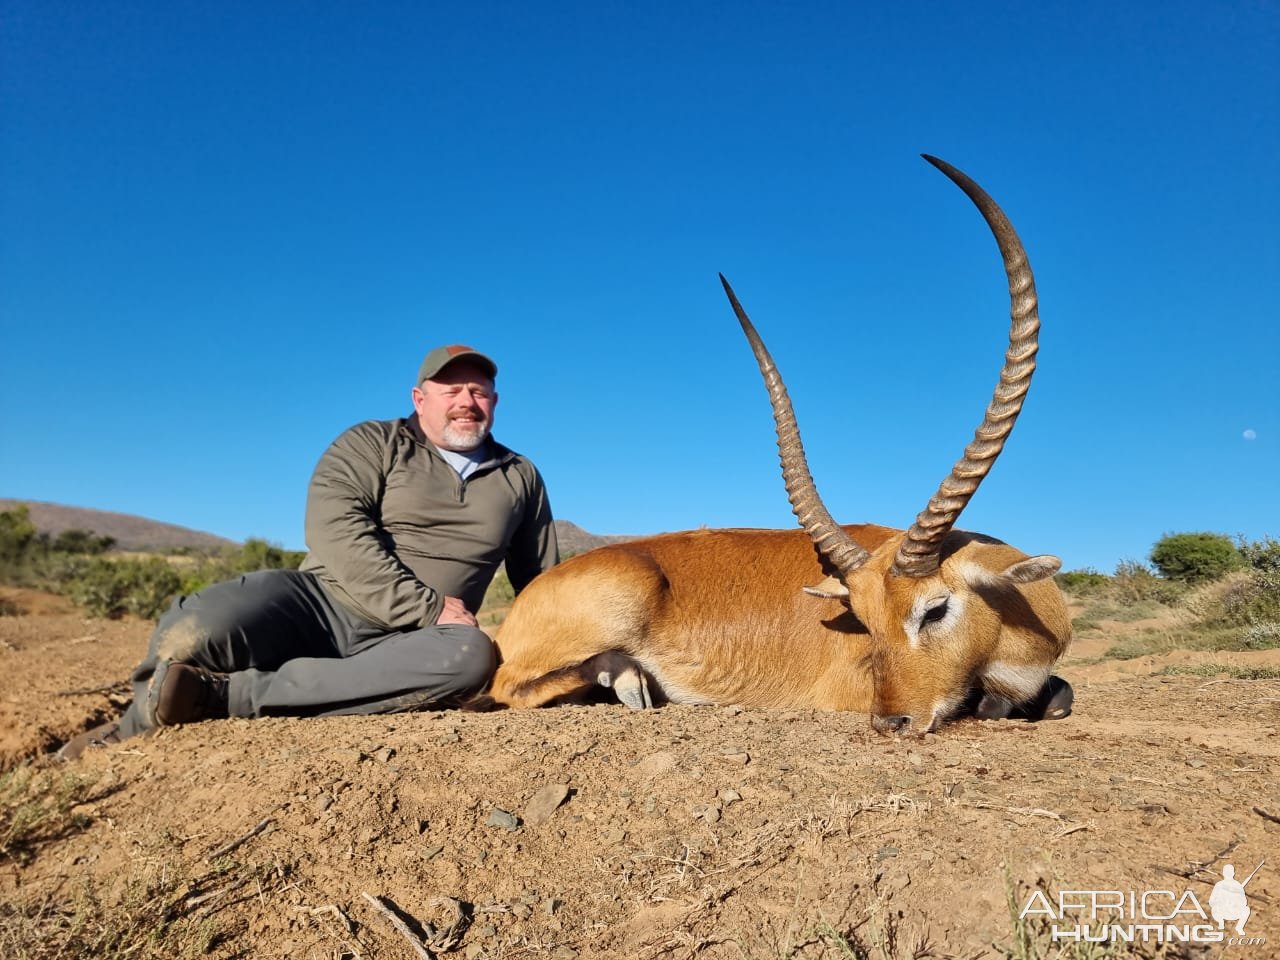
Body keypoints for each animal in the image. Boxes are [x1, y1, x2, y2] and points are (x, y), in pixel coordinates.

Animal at [476, 156, 1075, 737]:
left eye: (935, 609)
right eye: (865, 622)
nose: (892, 721)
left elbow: (1057, 697)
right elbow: (989, 701)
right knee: (510, 690)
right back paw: (625, 680)